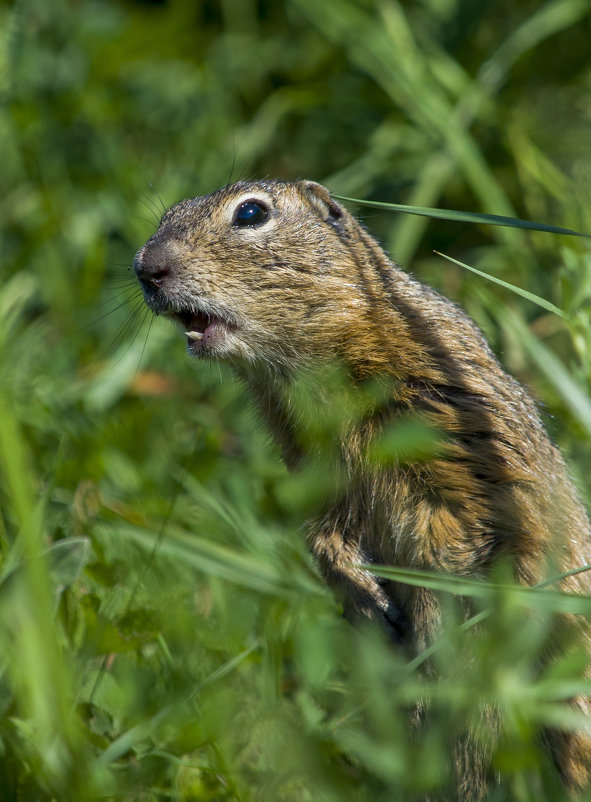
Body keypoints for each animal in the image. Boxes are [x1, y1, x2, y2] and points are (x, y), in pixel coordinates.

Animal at [134, 178, 591, 796]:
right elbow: (324, 533)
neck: (317, 373)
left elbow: (457, 538)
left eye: (250, 213)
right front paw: (366, 599)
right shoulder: (314, 467)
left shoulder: (453, 443)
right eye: (168, 213)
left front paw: (432, 633)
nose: (144, 267)